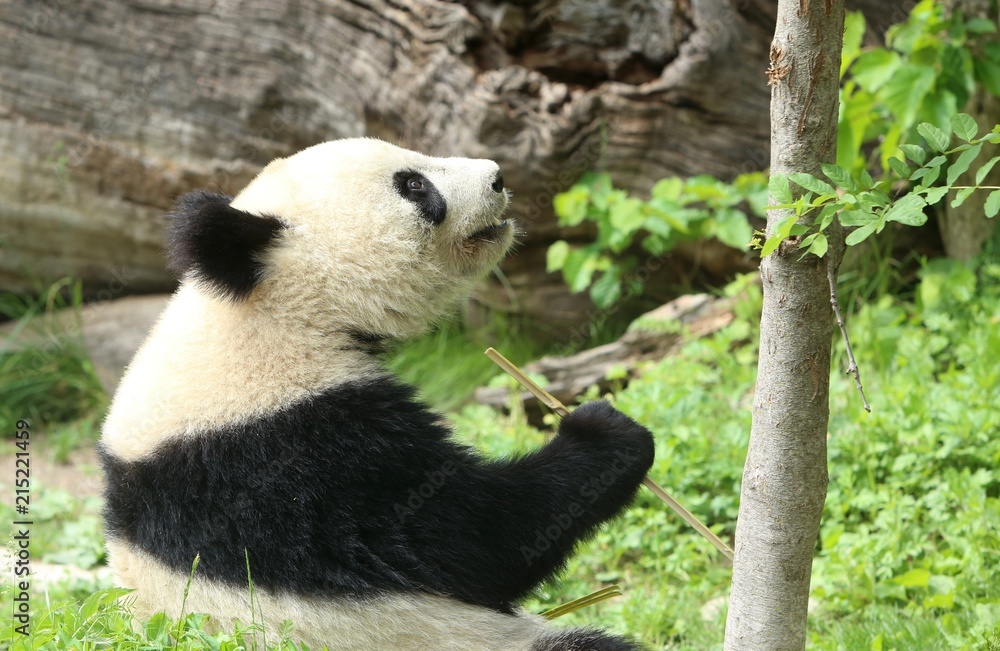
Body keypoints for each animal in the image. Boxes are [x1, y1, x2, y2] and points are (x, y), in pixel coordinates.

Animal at [98, 138, 655, 651]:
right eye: (413, 185)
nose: (497, 177)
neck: (263, 311)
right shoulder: (298, 458)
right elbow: (474, 539)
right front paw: (606, 434)